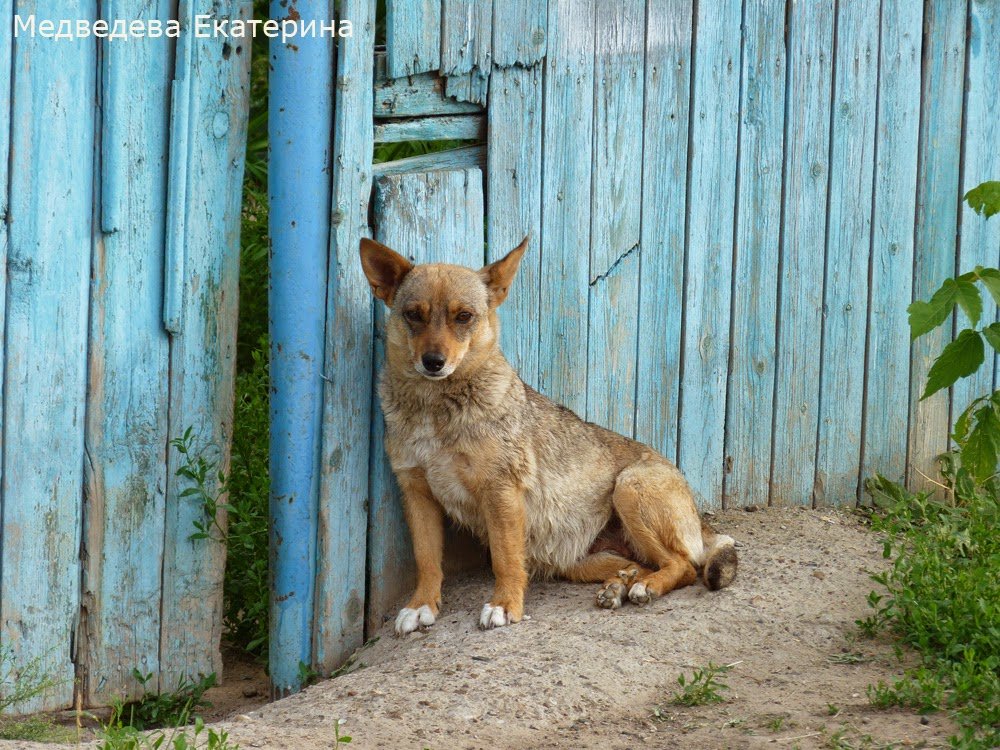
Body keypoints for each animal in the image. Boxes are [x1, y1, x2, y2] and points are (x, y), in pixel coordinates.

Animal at [360, 235, 736, 636]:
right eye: (413, 314)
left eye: (464, 317)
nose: (433, 362)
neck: (435, 407)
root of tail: (697, 515)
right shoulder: (417, 493)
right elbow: (427, 559)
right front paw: (421, 605)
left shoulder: (501, 491)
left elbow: (505, 560)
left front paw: (505, 605)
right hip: (577, 561)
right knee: (642, 565)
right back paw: (618, 586)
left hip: (629, 488)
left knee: (684, 566)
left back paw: (644, 587)